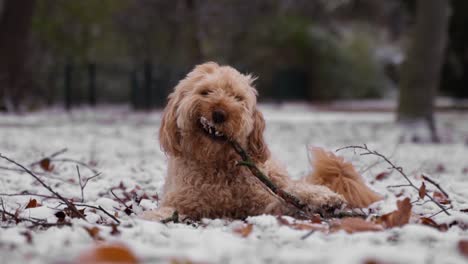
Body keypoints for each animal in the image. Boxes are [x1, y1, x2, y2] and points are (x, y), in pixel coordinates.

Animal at [142, 62, 380, 221]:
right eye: (205, 92)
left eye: (237, 98)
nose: (220, 113)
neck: (216, 163)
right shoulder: (182, 201)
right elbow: (168, 210)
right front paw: (154, 217)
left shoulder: (262, 202)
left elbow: (283, 200)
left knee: (294, 187)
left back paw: (325, 198)